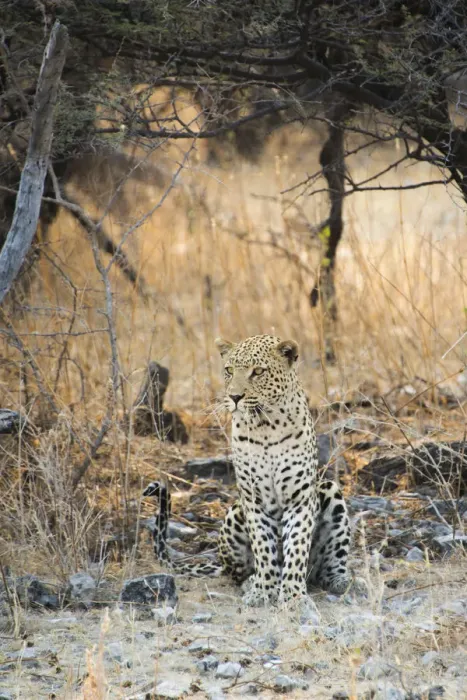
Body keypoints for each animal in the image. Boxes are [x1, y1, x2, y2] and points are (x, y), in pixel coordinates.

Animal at [143, 334, 351, 606]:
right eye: (229, 370)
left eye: (258, 372)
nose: (234, 397)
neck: (266, 426)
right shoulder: (253, 498)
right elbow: (263, 547)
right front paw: (263, 590)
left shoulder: (300, 498)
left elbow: (296, 547)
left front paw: (293, 595)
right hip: (235, 512)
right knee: (236, 572)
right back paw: (252, 581)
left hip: (329, 489)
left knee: (330, 562)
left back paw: (339, 580)